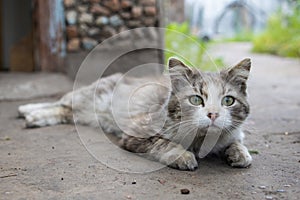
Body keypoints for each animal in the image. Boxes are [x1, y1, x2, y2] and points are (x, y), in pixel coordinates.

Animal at [18, 57, 252, 170]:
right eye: (196, 99)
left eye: (228, 101)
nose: (213, 115)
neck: (202, 139)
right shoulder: (135, 133)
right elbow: (165, 144)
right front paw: (184, 156)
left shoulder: (234, 133)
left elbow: (237, 142)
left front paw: (240, 154)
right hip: (86, 97)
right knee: (62, 101)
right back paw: (27, 110)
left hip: (83, 112)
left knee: (64, 111)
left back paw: (33, 117)